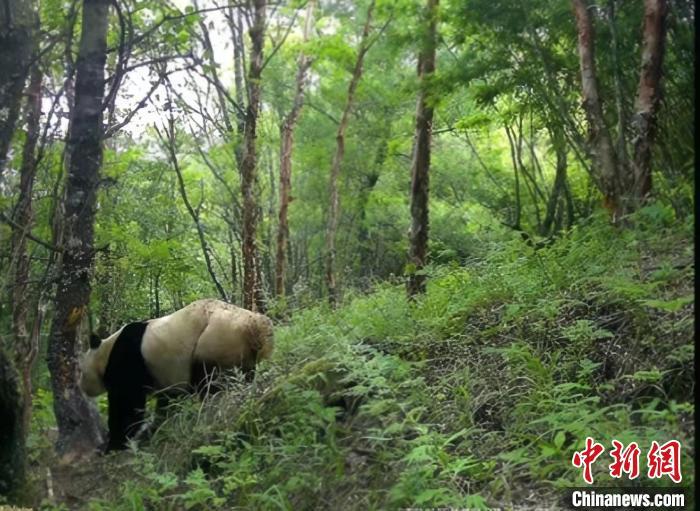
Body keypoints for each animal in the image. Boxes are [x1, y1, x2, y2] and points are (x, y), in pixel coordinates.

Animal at [78, 300, 272, 452]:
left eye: (81, 372)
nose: (82, 388)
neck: (106, 351)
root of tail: (254, 326)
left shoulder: (129, 358)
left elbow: (127, 403)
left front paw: (113, 444)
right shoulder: (165, 375)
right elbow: (168, 400)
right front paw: (155, 428)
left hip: (215, 340)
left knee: (212, 383)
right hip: (239, 351)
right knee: (242, 377)